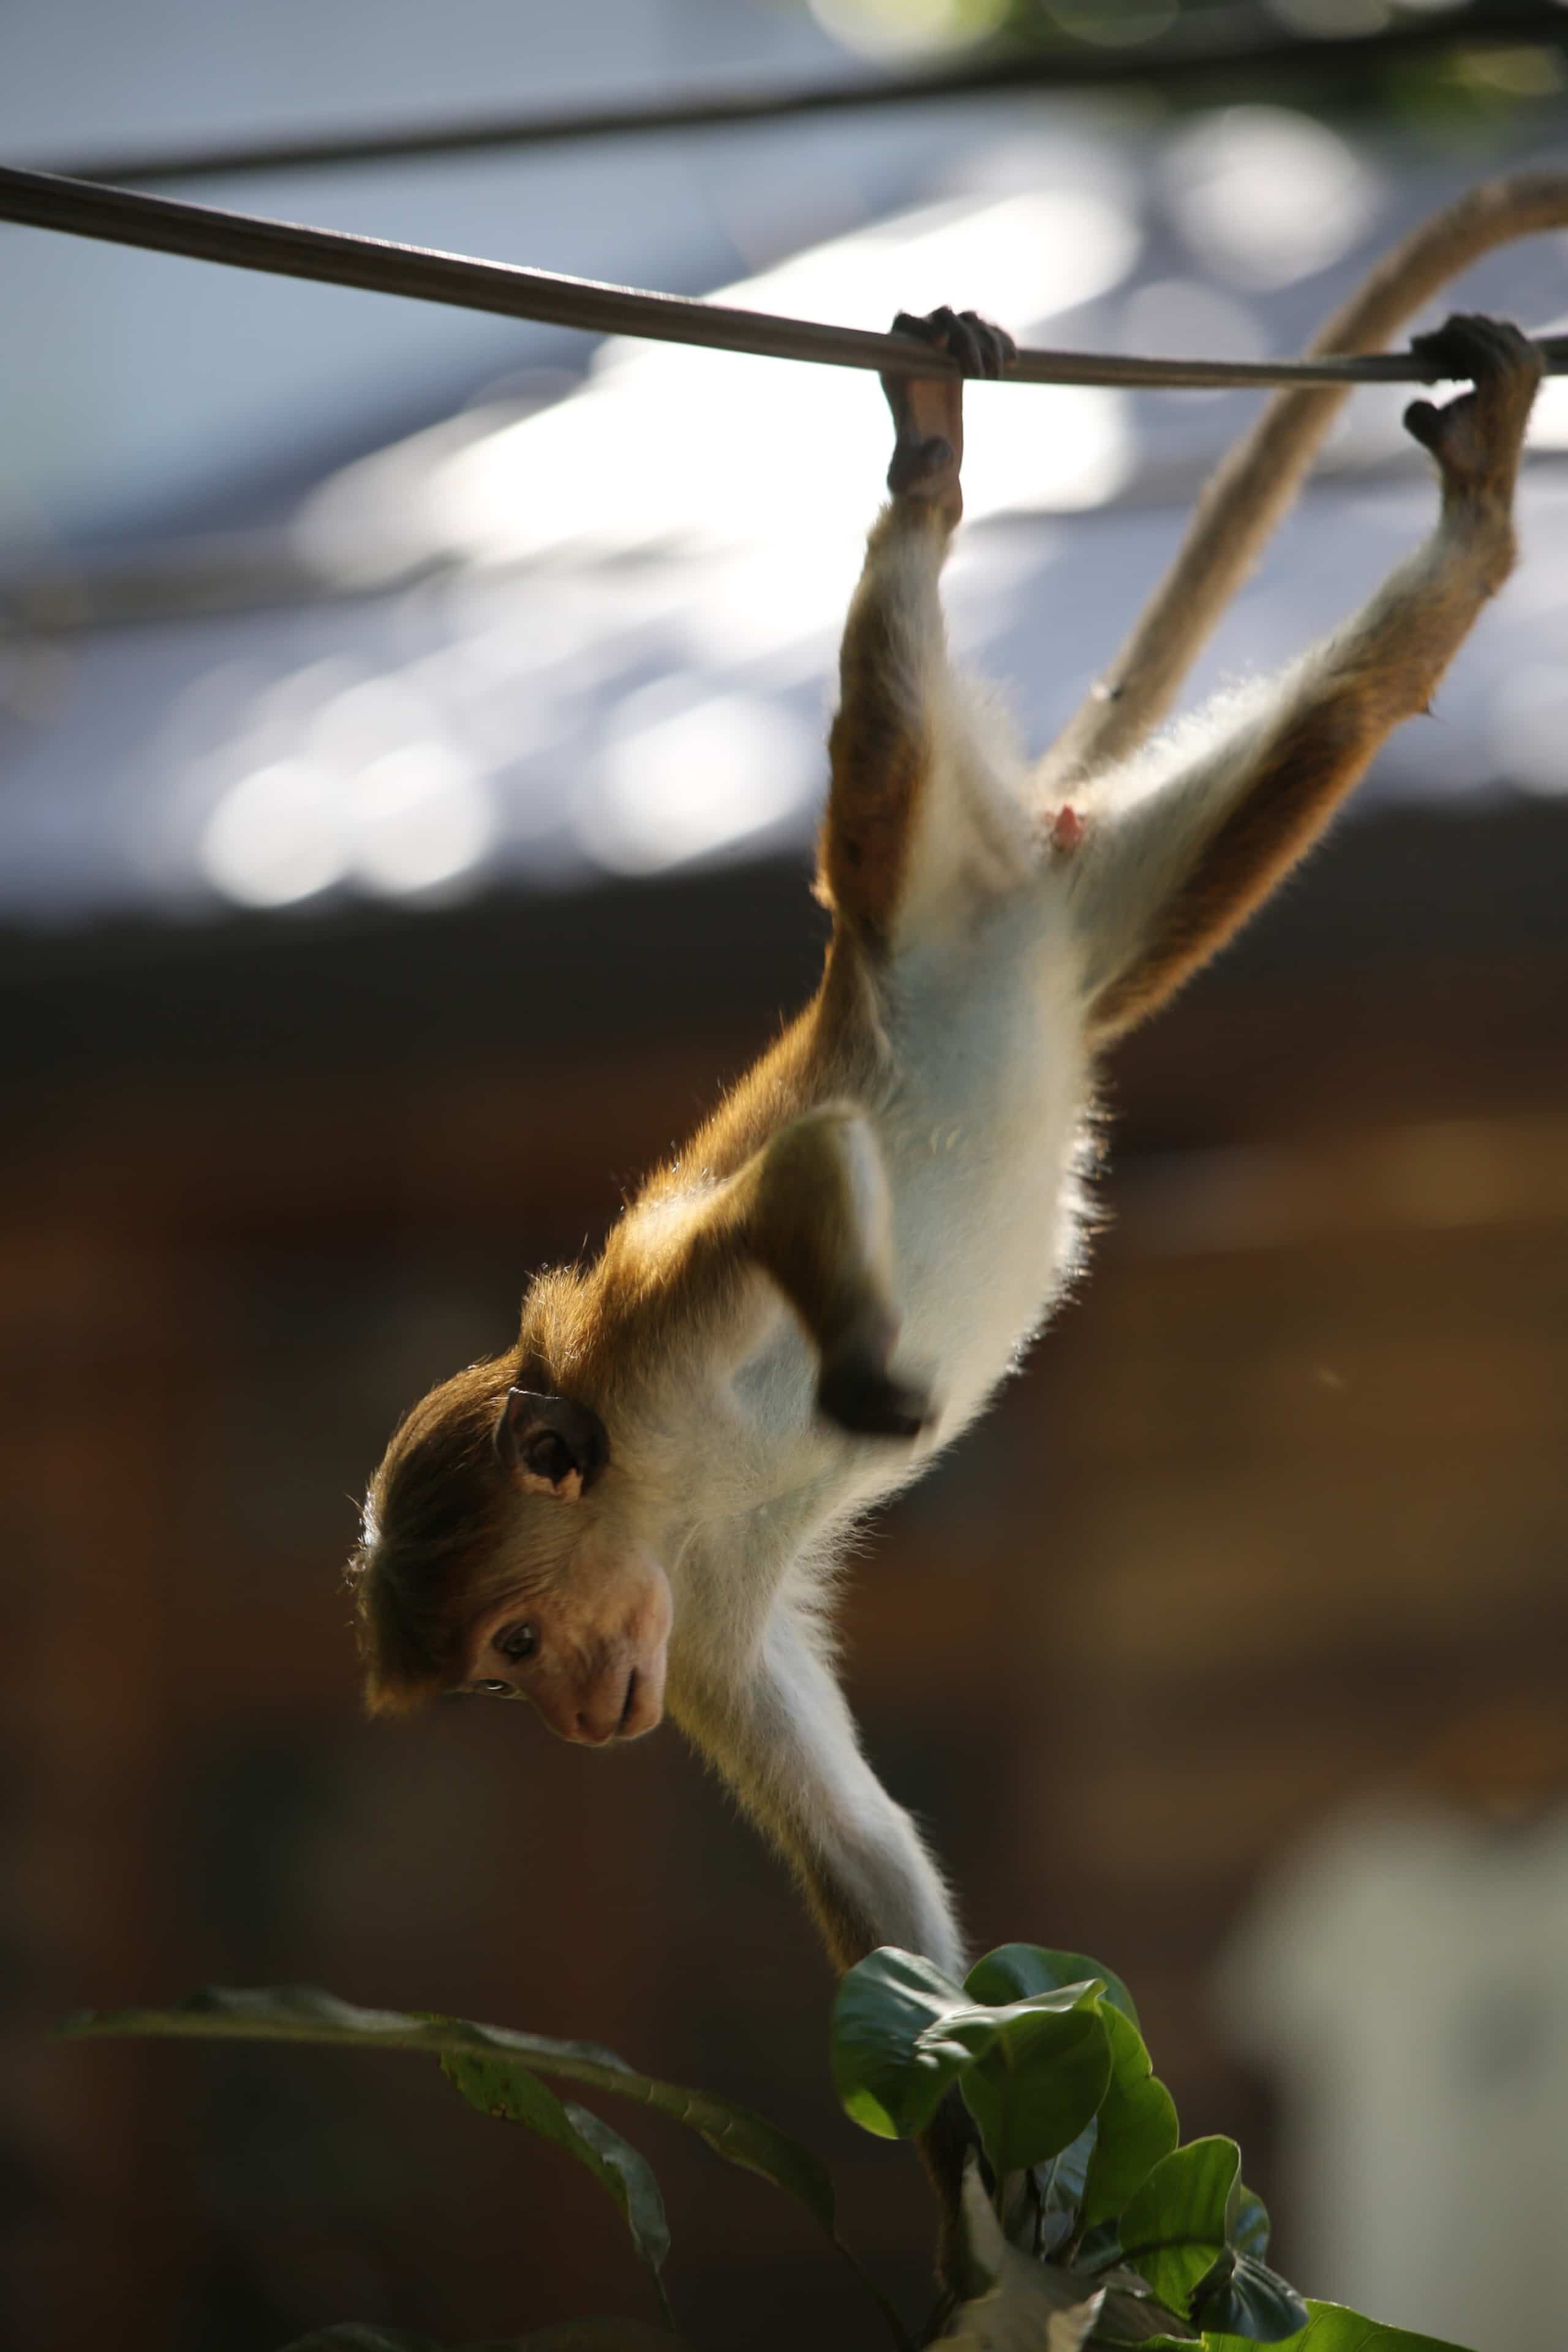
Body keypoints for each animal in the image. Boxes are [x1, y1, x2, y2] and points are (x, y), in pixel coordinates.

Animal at [348, 177, 1562, 2007]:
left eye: (511, 1635)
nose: (568, 1717)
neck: (663, 1489)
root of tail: (1013, 910)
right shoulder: (702, 1623)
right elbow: (866, 1864)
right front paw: (970, 2060)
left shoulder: (660, 1370)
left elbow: (804, 1174)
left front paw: (862, 1360)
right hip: (1089, 918)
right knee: (1326, 727)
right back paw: (1467, 535)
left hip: (918, 891)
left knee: (893, 751)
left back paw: (931, 472)